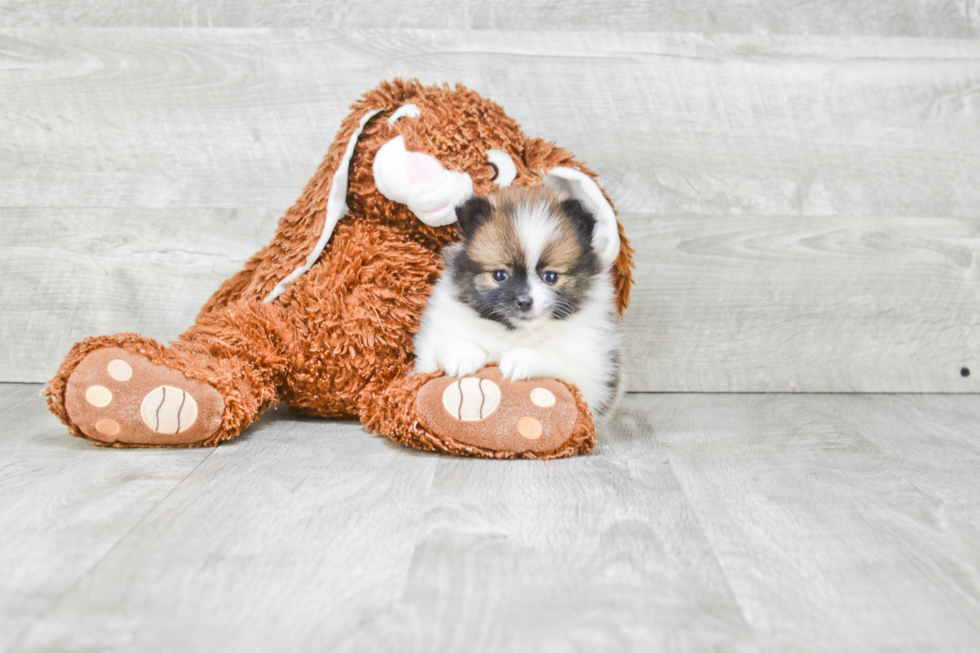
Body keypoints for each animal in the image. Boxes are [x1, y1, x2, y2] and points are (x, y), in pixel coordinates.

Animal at [414, 186, 620, 416]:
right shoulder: (435, 338)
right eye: (499, 275)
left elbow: (555, 359)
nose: (524, 301)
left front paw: (521, 359)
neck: (514, 332)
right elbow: (447, 342)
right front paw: (463, 357)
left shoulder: (590, 369)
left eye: (550, 277)